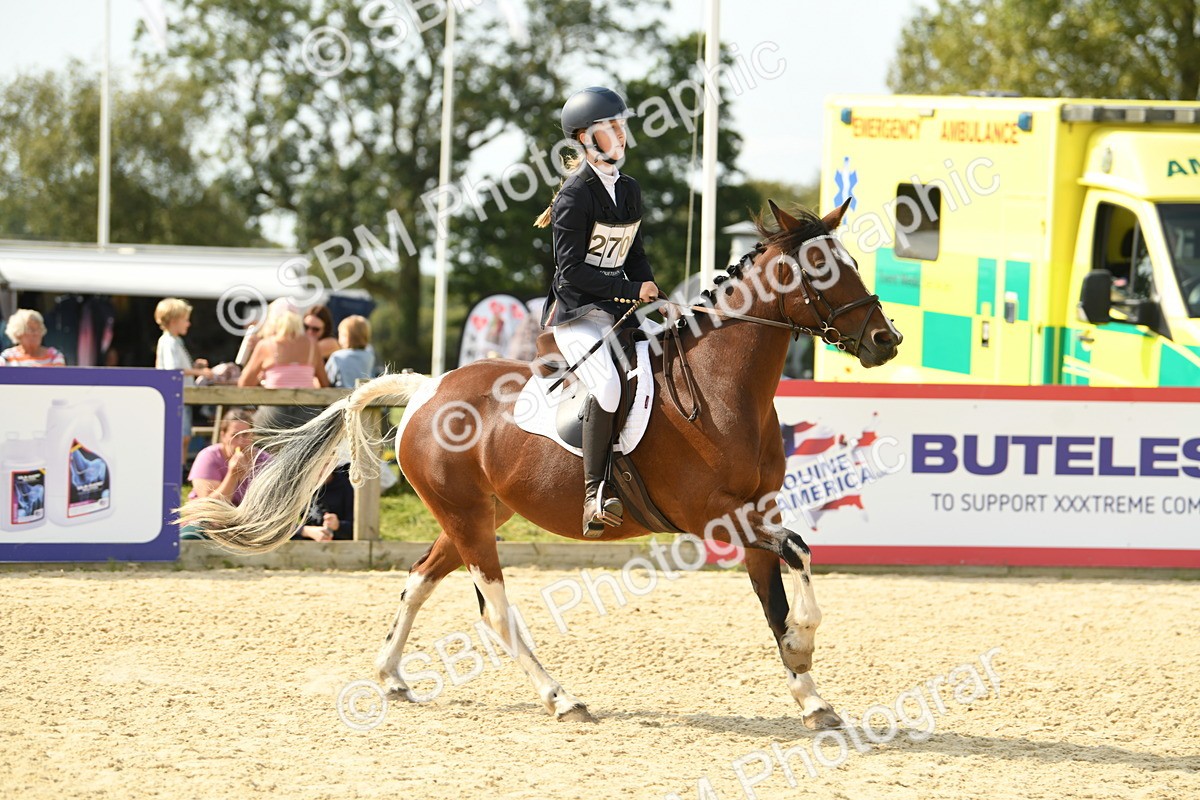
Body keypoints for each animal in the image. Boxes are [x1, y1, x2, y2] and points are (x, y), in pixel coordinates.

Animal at [178, 199, 902, 729]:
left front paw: (811, 695)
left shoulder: (757, 512)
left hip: (471, 516)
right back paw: (561, 697)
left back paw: (391, 678)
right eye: (817, 267)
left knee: (417, 582)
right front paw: (805, 649)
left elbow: (777, 595)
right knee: (494, 611)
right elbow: (799, 553)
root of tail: (426, 389)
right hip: (471, 522)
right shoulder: (716, 517)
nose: (886, 339)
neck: (724, 389)